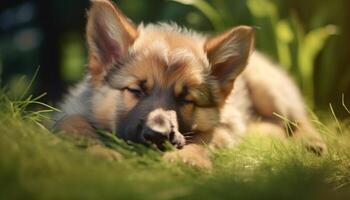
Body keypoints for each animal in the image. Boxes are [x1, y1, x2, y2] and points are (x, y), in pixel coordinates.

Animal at [53, 0, 326, 169]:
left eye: (186, 100)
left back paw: (311, 142)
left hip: (269, 89)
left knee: (298, 119)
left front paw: (189, 160)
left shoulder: (221, 128)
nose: (158, 135)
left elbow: (202, 140)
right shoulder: (71, 111)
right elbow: (73, 124)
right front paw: (98, 152)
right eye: (136, 90)